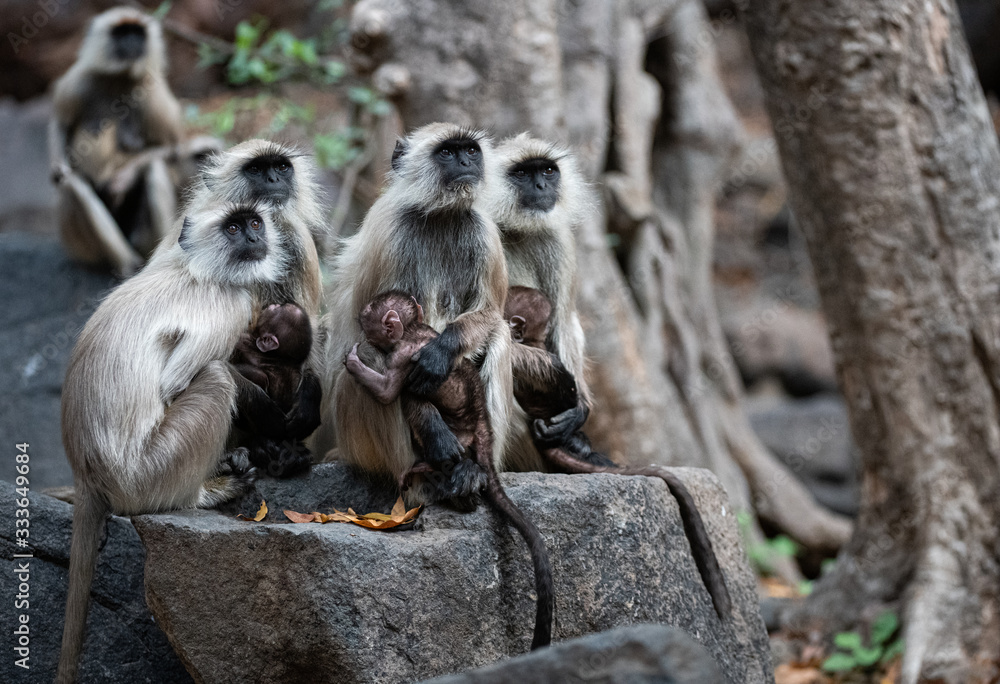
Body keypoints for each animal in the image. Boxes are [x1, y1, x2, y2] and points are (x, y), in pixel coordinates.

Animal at [49, 7, 185, 276]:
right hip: (82, 246)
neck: (119, 78)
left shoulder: (153, 90)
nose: (132, 41)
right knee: (73, 184)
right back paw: (126, 265)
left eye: (137, 33)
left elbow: (172, 148)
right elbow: (59, 124)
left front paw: (123, 180)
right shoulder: (80, 78)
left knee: (154, 168)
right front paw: (59, 170)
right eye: (121, 32)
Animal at [56, 201, 299, 683]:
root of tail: (87, 474)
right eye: (233, 229)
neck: (201, 271)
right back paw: (203, 492)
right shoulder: (229, 305)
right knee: (217, 376)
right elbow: (175, 384)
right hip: (150, 471)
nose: (253, 238)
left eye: (255, 223)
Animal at [321, 123, 513, 505]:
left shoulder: (482, 230)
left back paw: (473, 470)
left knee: (498, 335)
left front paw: (440, 352)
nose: (466, 163)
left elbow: (490, 312)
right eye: (448, 152)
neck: (440, 213)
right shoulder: (392, 233)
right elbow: (379, 330)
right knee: (368, 351)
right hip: (358, 441)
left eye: (470, 150)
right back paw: (424, 480)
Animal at [344, 291, 553, 649]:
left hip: (462, 434)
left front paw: (355, 362)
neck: (416, 329)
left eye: (370, 328)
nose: (366, 337)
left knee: (410, 398)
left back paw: (432, 468)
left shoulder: (403, 353)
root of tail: (484, 427)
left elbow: (389, 390)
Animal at [486, 133, 595, 472]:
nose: (541, 186)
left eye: (547, 171)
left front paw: (576, 411)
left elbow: (562, 320)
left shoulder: (557, 239)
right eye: (522, 173)